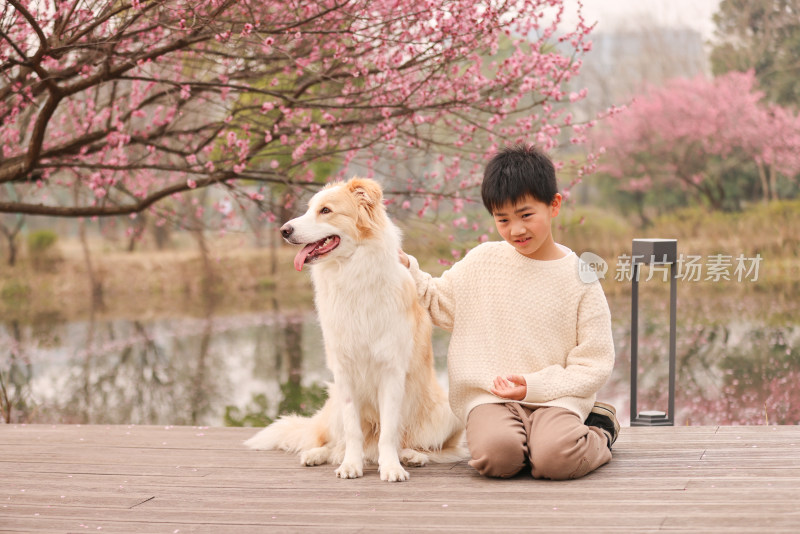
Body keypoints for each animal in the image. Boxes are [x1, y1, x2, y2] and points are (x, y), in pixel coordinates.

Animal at [247, 178, 466, 484]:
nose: (284, 230)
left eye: (326, 210)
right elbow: (353, 431)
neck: (352, 272)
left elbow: (389, 431)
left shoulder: (391, 372)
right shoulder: (344, 373)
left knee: (427, 446)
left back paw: (411, 456)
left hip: (448, 411)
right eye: (309, 209)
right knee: (334, 443)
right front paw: (351, 465)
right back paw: (318, 454)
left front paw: (391, 467)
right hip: (335, 402)